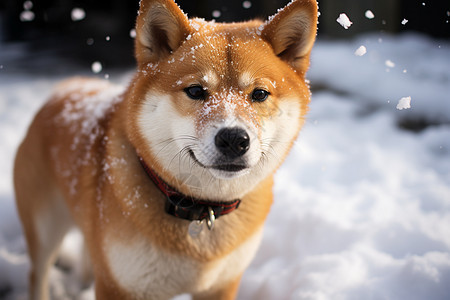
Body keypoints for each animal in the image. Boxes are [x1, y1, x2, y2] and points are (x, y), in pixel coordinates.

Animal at [13, 0, 316, 298]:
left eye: (260, 94)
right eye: (195, 91)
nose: (233, 139)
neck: (200, 210)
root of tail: (67, 88)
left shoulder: (222, 284)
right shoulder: (119, 285)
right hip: (45, 228)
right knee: (38, 274)